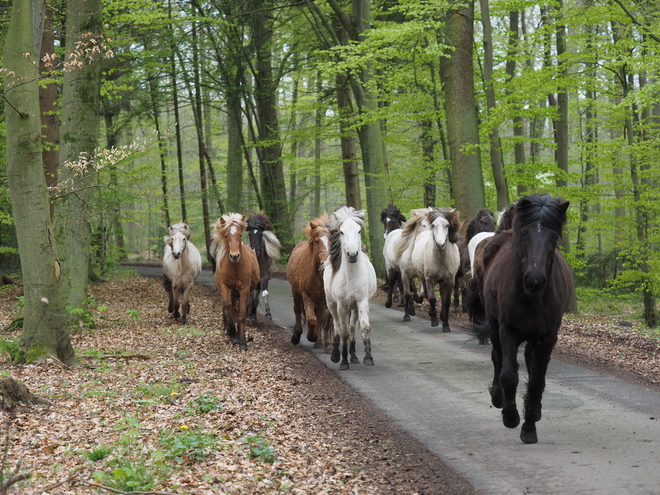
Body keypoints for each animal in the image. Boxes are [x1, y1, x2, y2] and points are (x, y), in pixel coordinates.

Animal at [214, 214, 260, 352]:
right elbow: (229, 307)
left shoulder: (244, 289)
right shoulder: (226, 287)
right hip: (232, 293)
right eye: (226, 236)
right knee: (230, 306)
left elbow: (241, 315)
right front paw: (233, 334)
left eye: (240, 235)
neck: (235, 268)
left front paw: (243, 342)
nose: (234, 256)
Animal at [284, 217, 332, 352]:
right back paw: (296, 336)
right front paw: (311, 336)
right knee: (298, 310)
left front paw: (319, 340)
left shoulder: (324, 300)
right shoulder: (307, 295)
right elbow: (311, 319)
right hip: (295, 291)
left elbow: (320, 319)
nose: (325, 265)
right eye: (317, 241)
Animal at [324, 206, 376, 372]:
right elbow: (344, 332)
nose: (352, 255)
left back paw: (353, 356)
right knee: (337, 326)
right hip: (332, 304)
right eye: (341, 232)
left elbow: (364, 328)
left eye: (359, 231)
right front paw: (343, 362)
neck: (351, 277)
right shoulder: (341, 305)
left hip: (354, 308)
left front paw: (368, 358)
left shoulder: (362, 302)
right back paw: (335, 355)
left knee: (353, 328)